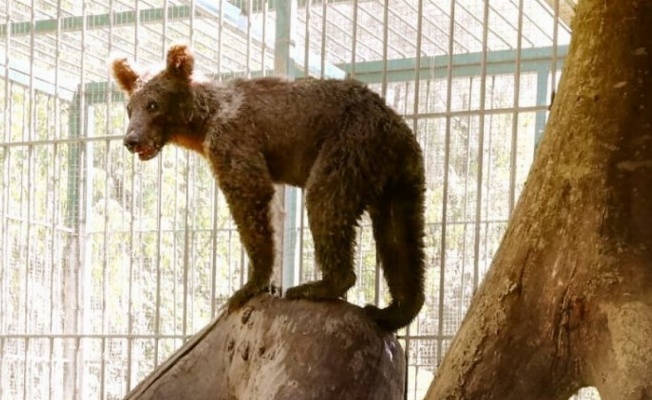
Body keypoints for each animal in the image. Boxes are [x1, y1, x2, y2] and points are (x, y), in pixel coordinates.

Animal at [111, 44, 428, 332]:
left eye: (153, 104)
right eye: (129, 108)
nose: (131, 140)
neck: (201, 126)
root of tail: (395, 128)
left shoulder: (234, 142)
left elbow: (252, 202)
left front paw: (248, 287)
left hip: (347, 148)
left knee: (326, 204)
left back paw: (316, 286)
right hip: (402, 181)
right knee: (401, 238)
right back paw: (393, 311)